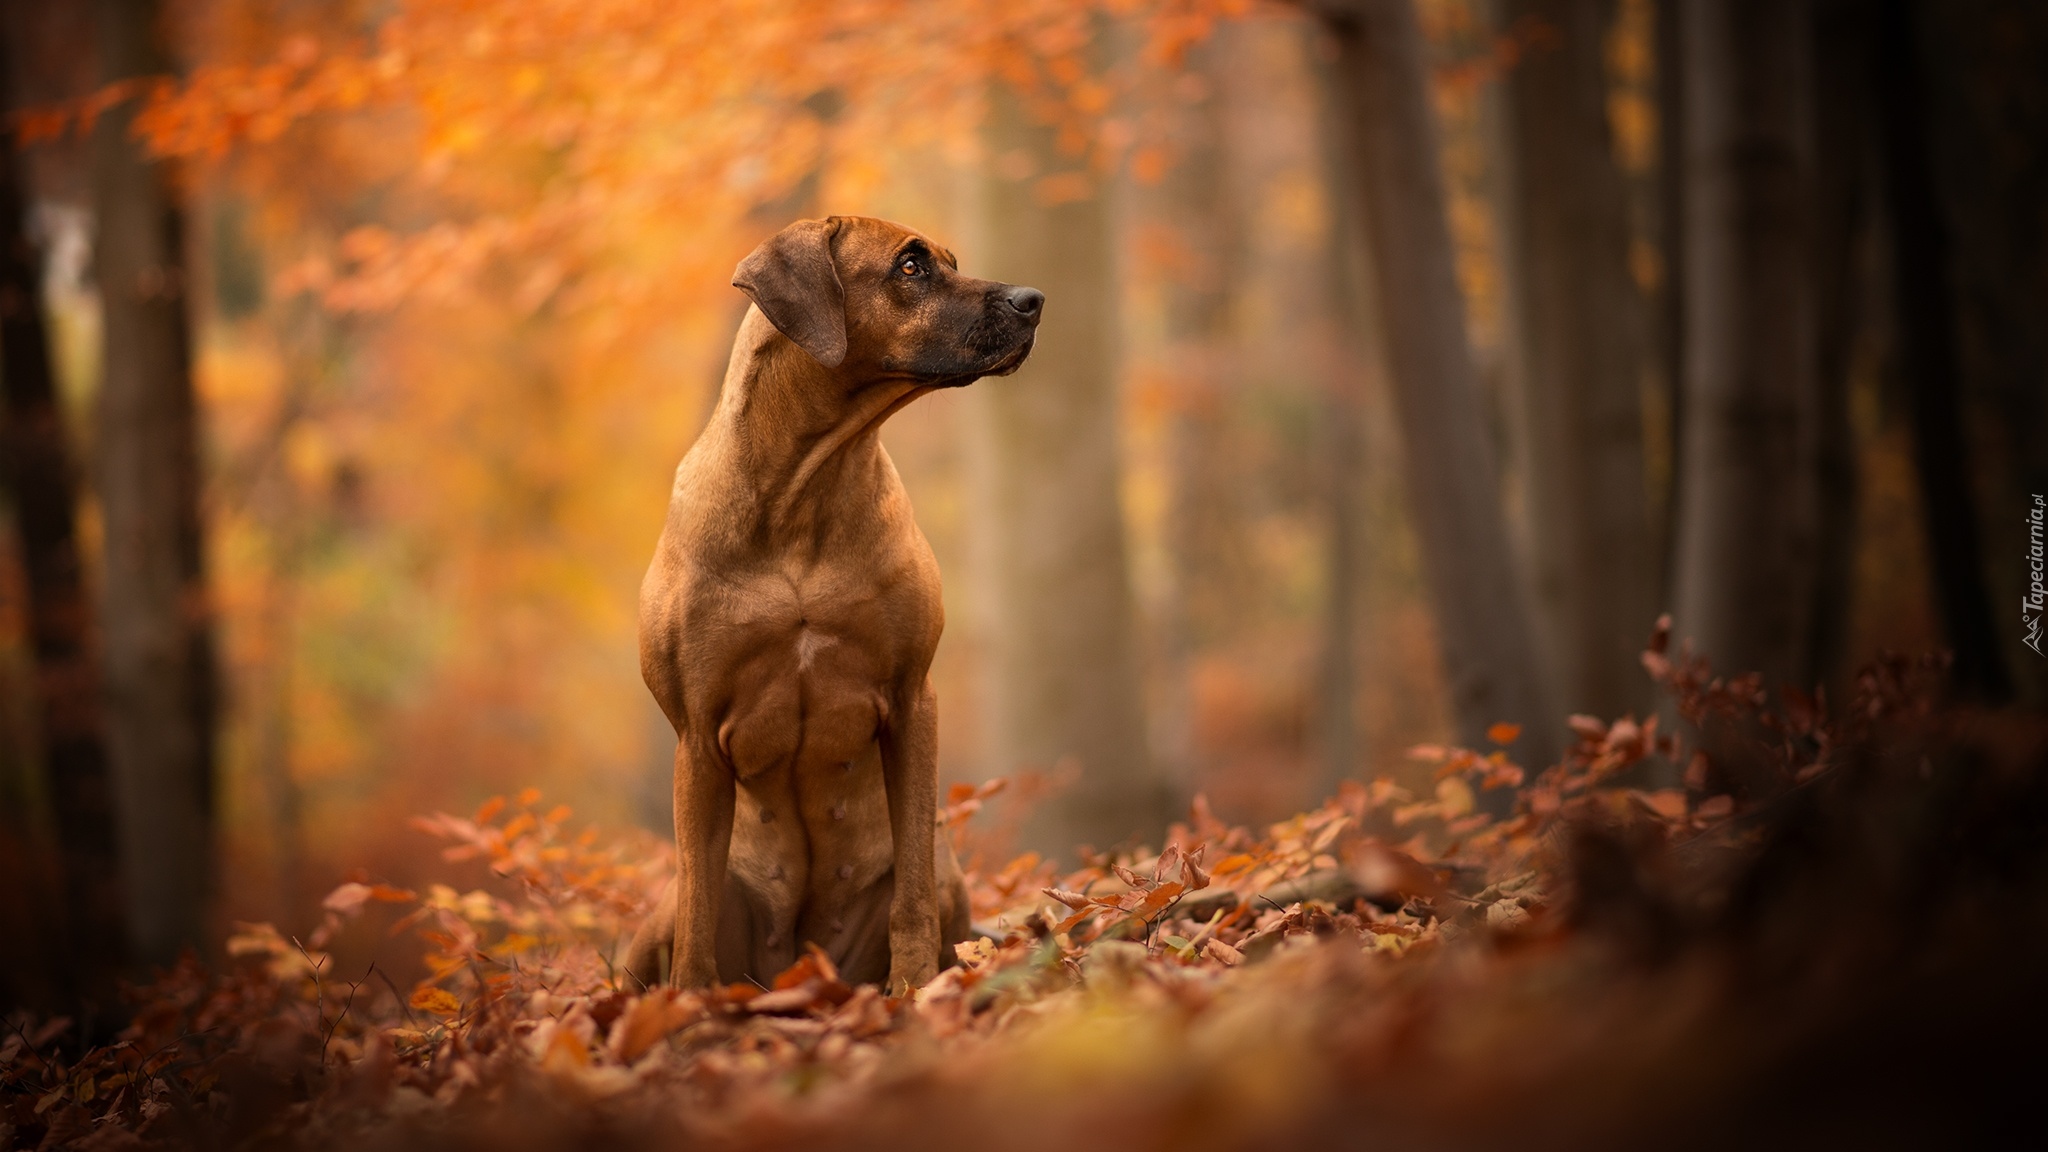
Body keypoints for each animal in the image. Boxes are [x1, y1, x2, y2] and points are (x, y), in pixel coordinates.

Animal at [618, 213, 1040, 988]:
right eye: (911, 267)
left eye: (949, 260)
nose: (1036, 301)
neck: (803, 488)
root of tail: (799, 964)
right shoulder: (696, 737)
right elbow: (696, 917)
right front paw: (686, 1004)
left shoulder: (912, 701)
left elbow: (911, 890)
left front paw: (915, 990)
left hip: (943, 874)